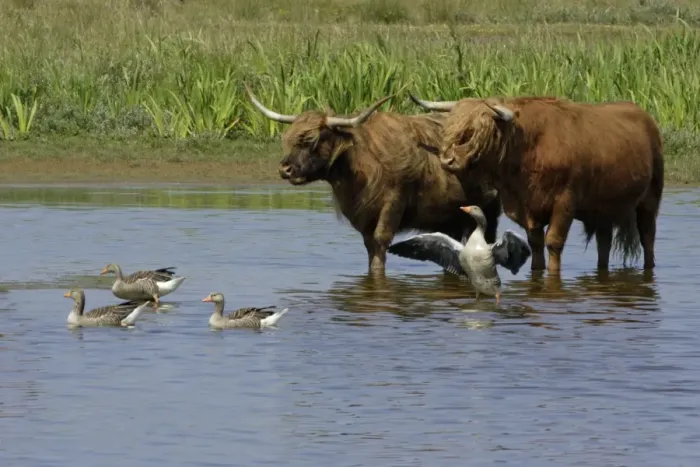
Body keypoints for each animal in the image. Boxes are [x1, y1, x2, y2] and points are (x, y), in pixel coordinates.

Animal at [244, 84, 502, 276]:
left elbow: (380, 242)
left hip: (488, 210)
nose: (285, 169)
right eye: (287, 138)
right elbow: (370, 246)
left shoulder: (394, 202)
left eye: (311, 140)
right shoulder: (363, 216)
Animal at [408, 93, 664, 274]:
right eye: (452, 129)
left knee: (648, 236)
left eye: (477, 132)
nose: (448, 160)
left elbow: (553, 242)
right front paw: (537, 271)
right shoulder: (526, 208)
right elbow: (536, 243)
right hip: (603, 207)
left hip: (650, 198)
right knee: (604, 242)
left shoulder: (565, 202)